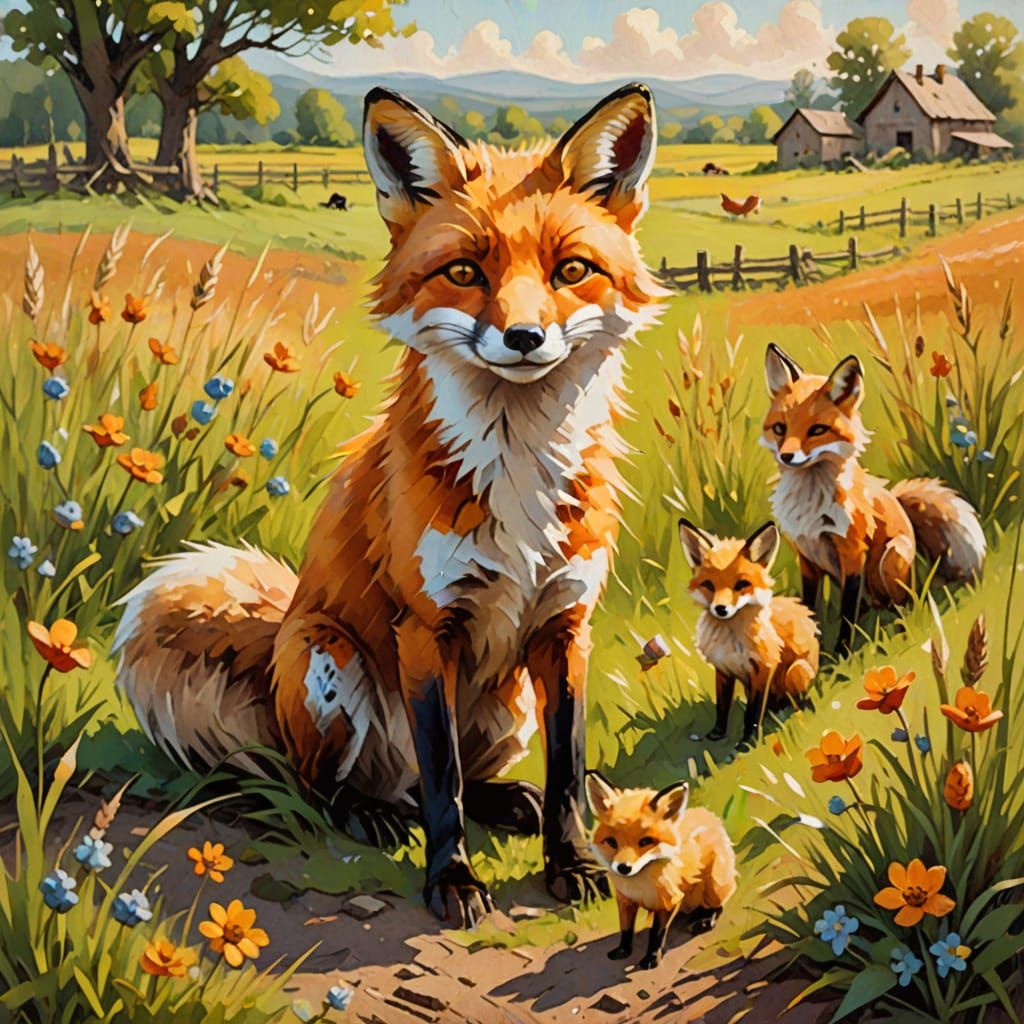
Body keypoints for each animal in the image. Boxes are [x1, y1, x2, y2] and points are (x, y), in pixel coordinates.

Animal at [111, 83, 667, 929]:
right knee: (336, 787)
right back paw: (369, 814)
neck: (519, 477)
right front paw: (453, 882)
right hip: (327, 661)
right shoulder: (424, 628)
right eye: (465, 270)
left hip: (510, 706)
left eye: (572, 269)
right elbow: (442, 784)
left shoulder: (567, 625)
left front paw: (570, 861)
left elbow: (568, 771)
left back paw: (509, 802)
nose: (524, 336)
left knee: (464, 780)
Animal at [586, 773, 736, 969]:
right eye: (611, 842)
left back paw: (705, 921)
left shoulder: (669, 901)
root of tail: (709, 816)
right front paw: (623, 951)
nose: (623, 868)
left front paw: (652, 958)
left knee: (718, 906)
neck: (640, 886)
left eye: (645, 841)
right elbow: (626, 929)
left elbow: (657, 933)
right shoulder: (625, 900)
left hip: (713, 886)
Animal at [677, 519, 819, 746]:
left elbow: (752, 713)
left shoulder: (763, 670)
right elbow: (722, 706)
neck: (732, 640)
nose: (721, 609)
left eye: (741, 584)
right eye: (709, 585)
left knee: (798, 703)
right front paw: (717, 734)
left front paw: (747, 743)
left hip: (796, 672)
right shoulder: (723, 669)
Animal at [762, 344, 985, 651]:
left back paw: (898, 633)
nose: (787, 456)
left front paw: (842, 654)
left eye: (817, 430)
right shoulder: (806, 557)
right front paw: (814, 644)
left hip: (889, 559)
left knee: (906, 606)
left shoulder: (853, 553)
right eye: (780, 429)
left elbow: (847, 612)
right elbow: (810, 607)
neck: (812, 504)